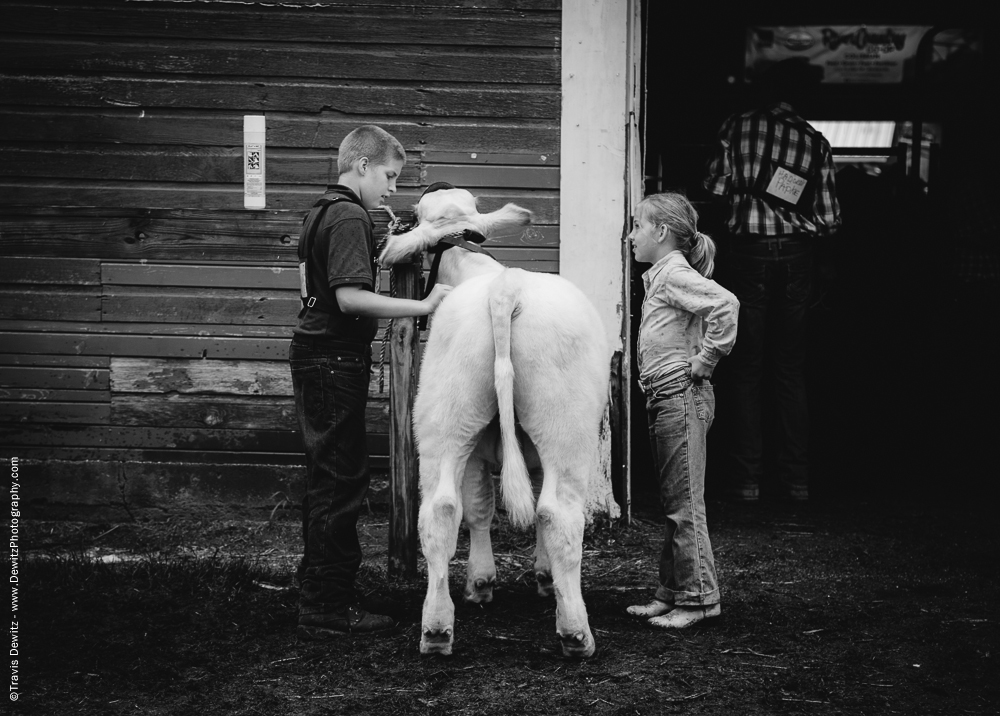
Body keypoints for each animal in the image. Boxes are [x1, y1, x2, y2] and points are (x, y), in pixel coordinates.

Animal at [376, 187, 604, 656]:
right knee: (557, 512)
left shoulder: (478, 447)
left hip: (446, 418)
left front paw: (481, 581)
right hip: (566, 428)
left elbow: (479, 507)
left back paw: (436, 629)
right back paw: (576, 632)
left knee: (442, 509)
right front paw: (540, 577)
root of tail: (504, 287)